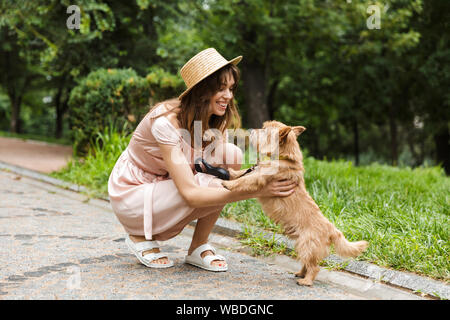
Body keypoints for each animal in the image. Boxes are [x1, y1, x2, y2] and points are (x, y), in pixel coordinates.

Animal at [223, 121, 368, 286]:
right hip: (302, 245)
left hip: (307, 245)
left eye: (264, 130)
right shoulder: (256, 170)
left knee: (314, 267)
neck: (283, 157)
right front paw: (231, 173)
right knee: (308, 263)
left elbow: (245, 179)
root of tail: (332, 229)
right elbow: (244, 172)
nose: (251, 129)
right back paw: (300, 273)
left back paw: (306, 281)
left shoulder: (258, 177)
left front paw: (228, 184)